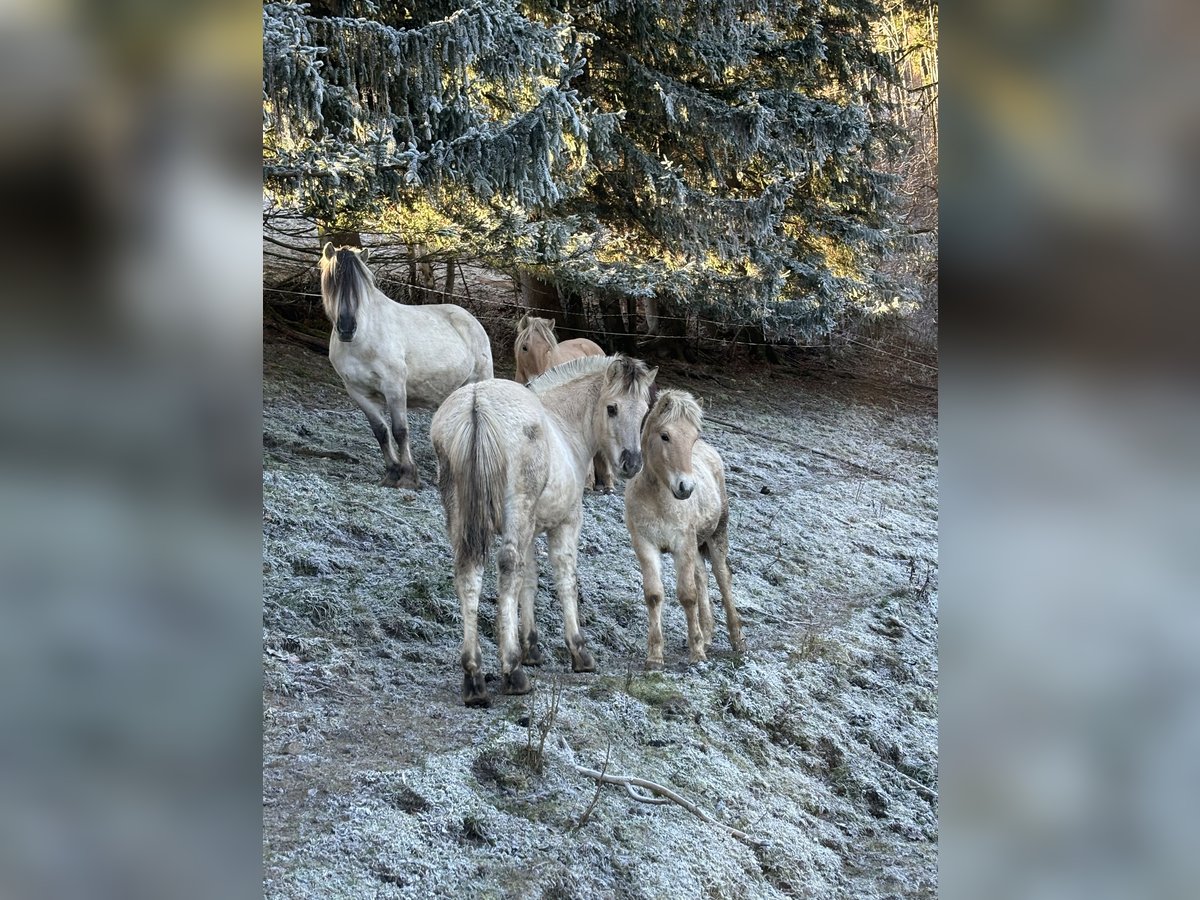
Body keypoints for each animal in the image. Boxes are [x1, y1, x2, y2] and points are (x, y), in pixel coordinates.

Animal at [319, 243, 492, 489]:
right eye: (332, 281)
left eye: (362, 286)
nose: (347, 328)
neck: (363, 339)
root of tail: (471, 319)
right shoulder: (357, 392)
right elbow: (381, 431)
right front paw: (392, 472)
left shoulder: (394, 387)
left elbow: (400, 430)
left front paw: (409, 475)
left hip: (478, 383)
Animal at [429, 355, 657, 710]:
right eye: (612, 408)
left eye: (645, 410)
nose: (631, 463)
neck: (562, 424)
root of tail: (477, 403)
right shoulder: (565, 523)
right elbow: (564, 579)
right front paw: (578, 651)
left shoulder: (530, 530)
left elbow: (529, 583)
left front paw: (531, 648)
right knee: (507, 568)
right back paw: (512, 671)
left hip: (463, 518)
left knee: (469, 576)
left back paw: (474, 676)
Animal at [624, 388, 744, 672]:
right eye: (665, 435)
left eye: (693, 436)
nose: (685, 488)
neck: (659, 500)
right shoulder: (645, 545)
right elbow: (654, 595)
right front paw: (655, 657)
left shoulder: (682, 545)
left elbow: (688, 595)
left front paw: (696, 654)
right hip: (696, 546)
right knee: (702, 578)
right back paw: (708, 635)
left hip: (716, 537)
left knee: (723, 578)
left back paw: (737, 640)